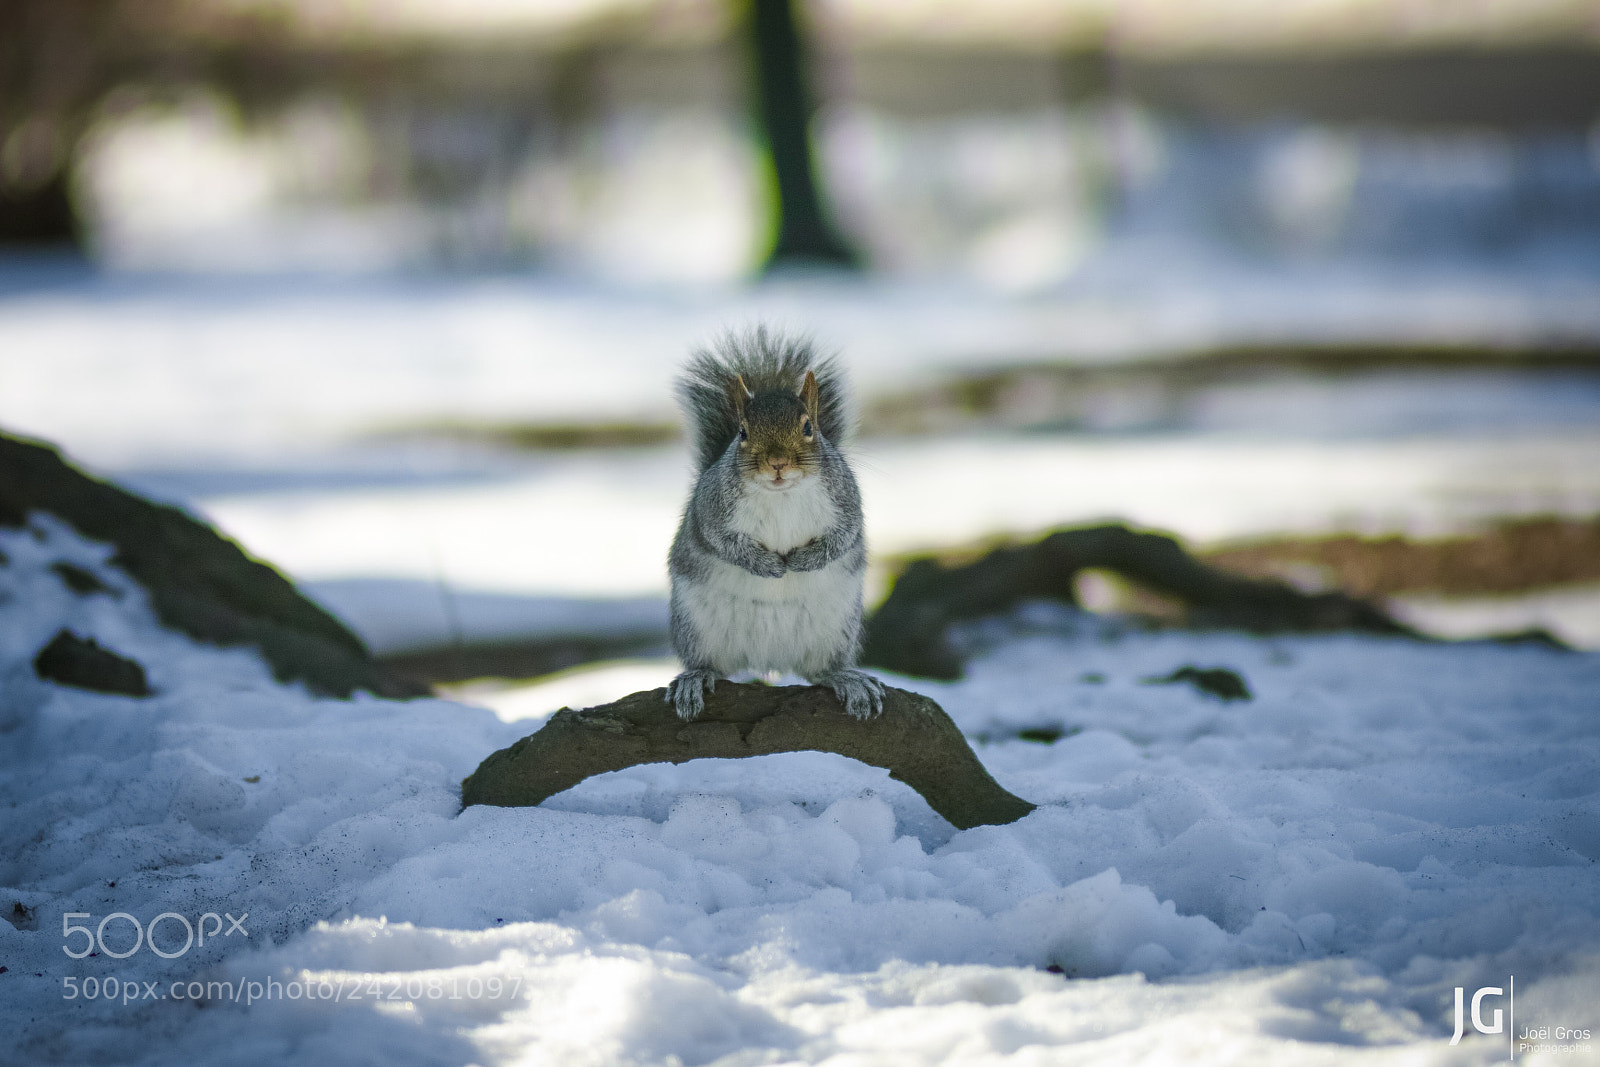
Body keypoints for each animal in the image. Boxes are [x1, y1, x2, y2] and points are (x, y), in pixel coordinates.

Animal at [666, 327, 885, 721]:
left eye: (809, 427)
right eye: (742, 432)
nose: (778, 463)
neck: (782, 494)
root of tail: (768, 659)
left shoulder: (847, 504)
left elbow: (843, 538)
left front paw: (802, 561)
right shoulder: (711, 510)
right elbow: (723, 541)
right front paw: (767, 565)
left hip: (835, 630)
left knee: (822, 670)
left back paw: (848, 680)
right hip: (696, 626)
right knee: (709, 664)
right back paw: (695, 679)